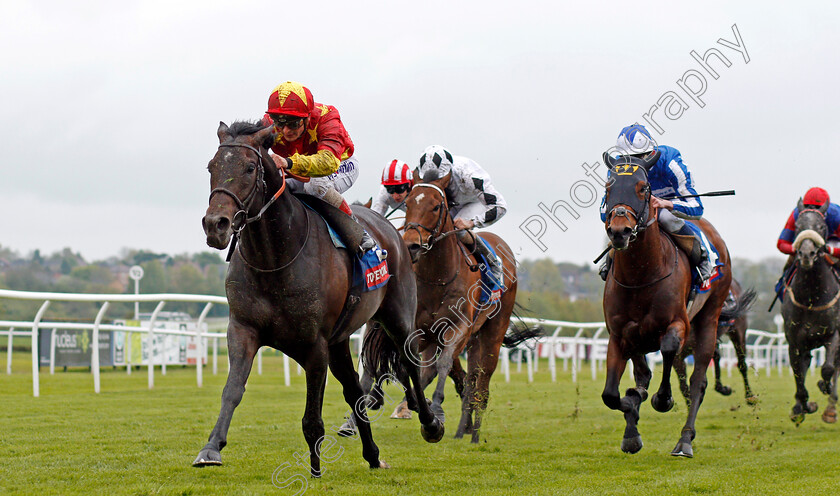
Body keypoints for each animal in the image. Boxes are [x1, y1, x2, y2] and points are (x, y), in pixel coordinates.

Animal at [194, 121, 442, 476]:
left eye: (250, 167)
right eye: (212, 167)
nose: (216, 224)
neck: (275, 258)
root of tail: (395, 233)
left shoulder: (315, 345)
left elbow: (312, 416)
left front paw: (314, 468)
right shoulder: (242, 329)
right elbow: (232, 390)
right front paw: (211, 448)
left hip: (397, 315)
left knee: (409, 363)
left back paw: (430, 424)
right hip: (340, 340)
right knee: (354, 389)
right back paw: (372, 454)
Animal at [600, 150, 732, 458]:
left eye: (643, 188)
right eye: (608, 187)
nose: (620, 231)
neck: (641, 274)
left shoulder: (678, 323)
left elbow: (669, 350)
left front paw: (662, 399)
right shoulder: (620, 334)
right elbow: (612, 394)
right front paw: (632, 419)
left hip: (709, 318)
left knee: (697, 382)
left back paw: (684, 440)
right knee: (644, 375)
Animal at [780, 200, 840, 424]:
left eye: (821, 227)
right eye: (797, 226)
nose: (806, 254)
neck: (812, 298)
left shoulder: (834, 334)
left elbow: (828, 368)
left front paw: (824, 386)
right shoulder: (795, 341)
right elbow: (799, 376)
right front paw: (803, 406)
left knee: (835, 367)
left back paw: (830, 408)